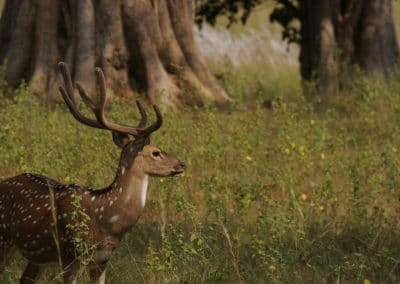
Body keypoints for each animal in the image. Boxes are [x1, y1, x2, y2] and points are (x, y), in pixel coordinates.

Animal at [0, 62, 184, 284]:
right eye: (156, 152)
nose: (181, 165)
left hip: (37, 255)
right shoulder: (70, 254)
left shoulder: (103, 259)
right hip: (3, 238)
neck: (108, 220)